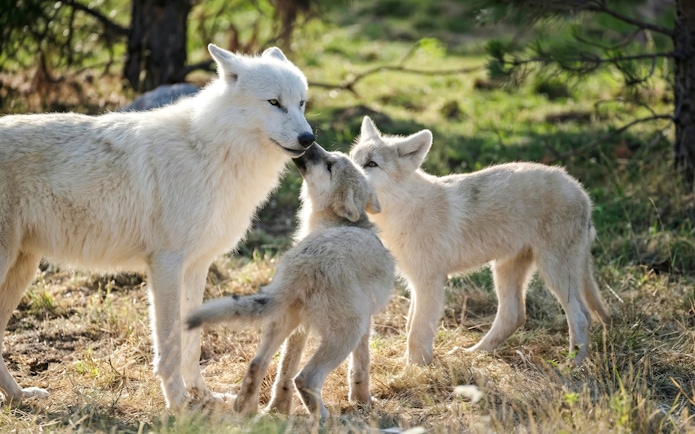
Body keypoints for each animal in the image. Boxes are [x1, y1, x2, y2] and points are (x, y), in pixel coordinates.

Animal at [0, 44, 315, 408]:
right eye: (274, 102)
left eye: (301, 103)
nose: (308, 138)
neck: (210, 153)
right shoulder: (166, 264)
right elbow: (170, 343)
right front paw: (178, 402)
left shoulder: (197, 266)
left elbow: (192, 343)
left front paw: (203, 396)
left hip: (23, 269)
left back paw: (19, 395)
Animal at [187, 143, 395, 418]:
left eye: (329, 164)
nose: (311, 142)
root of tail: (303, 264)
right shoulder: (365, 325)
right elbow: (360, 367)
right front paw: (363, 402)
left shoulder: (302, 329)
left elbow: (284, 373)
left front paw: (279, 409)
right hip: (347, 332)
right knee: (305, 378)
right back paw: (324, 419)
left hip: (284, 321)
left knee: (258, 364)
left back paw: (249, 409)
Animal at [349, 116, 609, 367]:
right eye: (353, 158)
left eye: (371, 164)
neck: (403, 210)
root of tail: (580, 190)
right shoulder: (417, 283)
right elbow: (409, 325)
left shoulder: (429, 281)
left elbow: (417, 332)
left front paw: (413, 370)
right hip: (506, 270)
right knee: (514, 316)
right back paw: (472, 353)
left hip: (553, 272)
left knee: (581, 316)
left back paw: (573, 365)